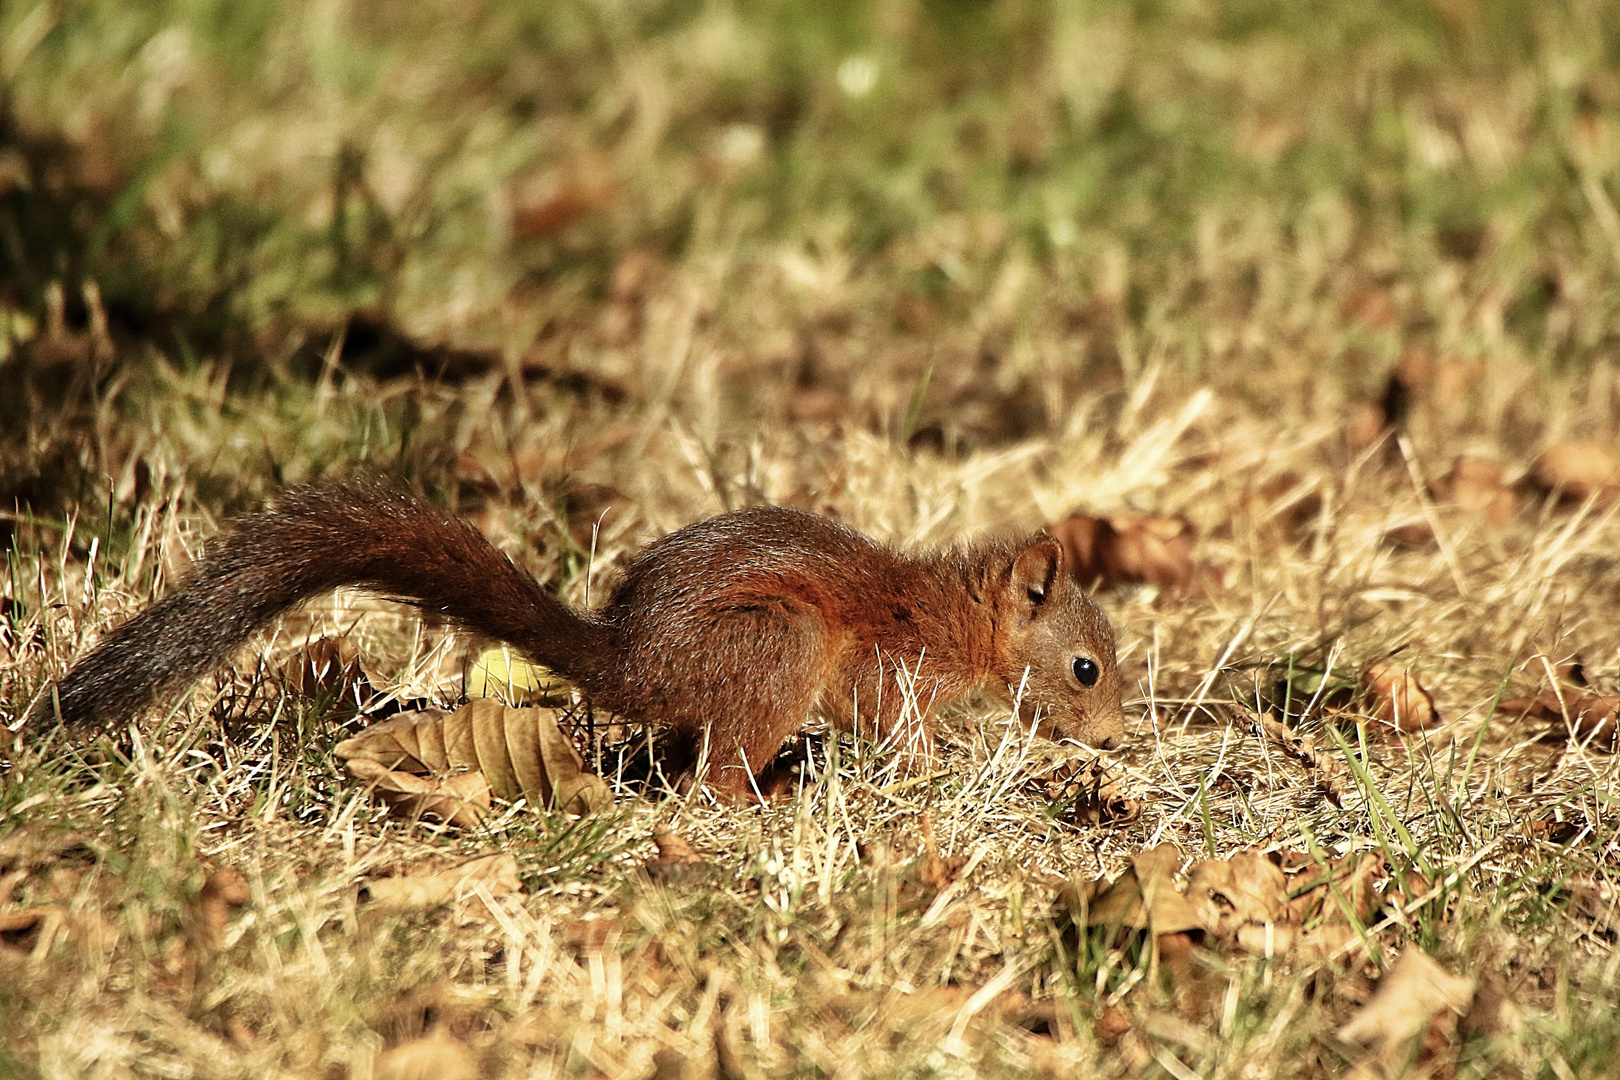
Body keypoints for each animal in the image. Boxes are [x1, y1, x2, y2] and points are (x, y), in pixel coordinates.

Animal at [22, 485, 1127, 799]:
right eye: (1085, 669)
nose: (1118, 739)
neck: (960, 614)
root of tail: (632, 660)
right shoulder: (890, 663)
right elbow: (893, 723)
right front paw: (943, 770)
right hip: (779, 644)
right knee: (711, 779)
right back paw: (763, 801)